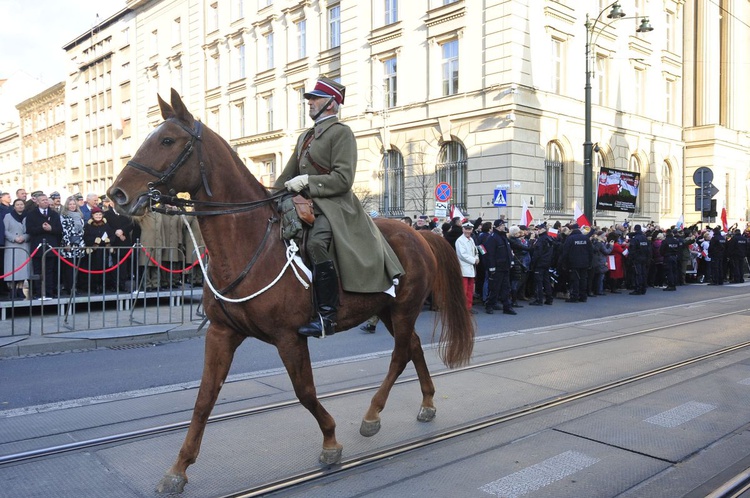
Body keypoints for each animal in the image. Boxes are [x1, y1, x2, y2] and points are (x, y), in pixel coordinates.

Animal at [107, 90, 476, 494]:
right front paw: (178, 468)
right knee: (413, 348)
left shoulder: (290, 337)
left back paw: (372, 414)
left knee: (398, 356)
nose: (117, 194)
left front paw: (330, 442)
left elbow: (305, 391)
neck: (249, 244)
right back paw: (427, 403)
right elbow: (204, 399)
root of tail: (419, 233)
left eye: (167, 140)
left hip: (405, 309)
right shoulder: (222, 333)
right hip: (389, 312)